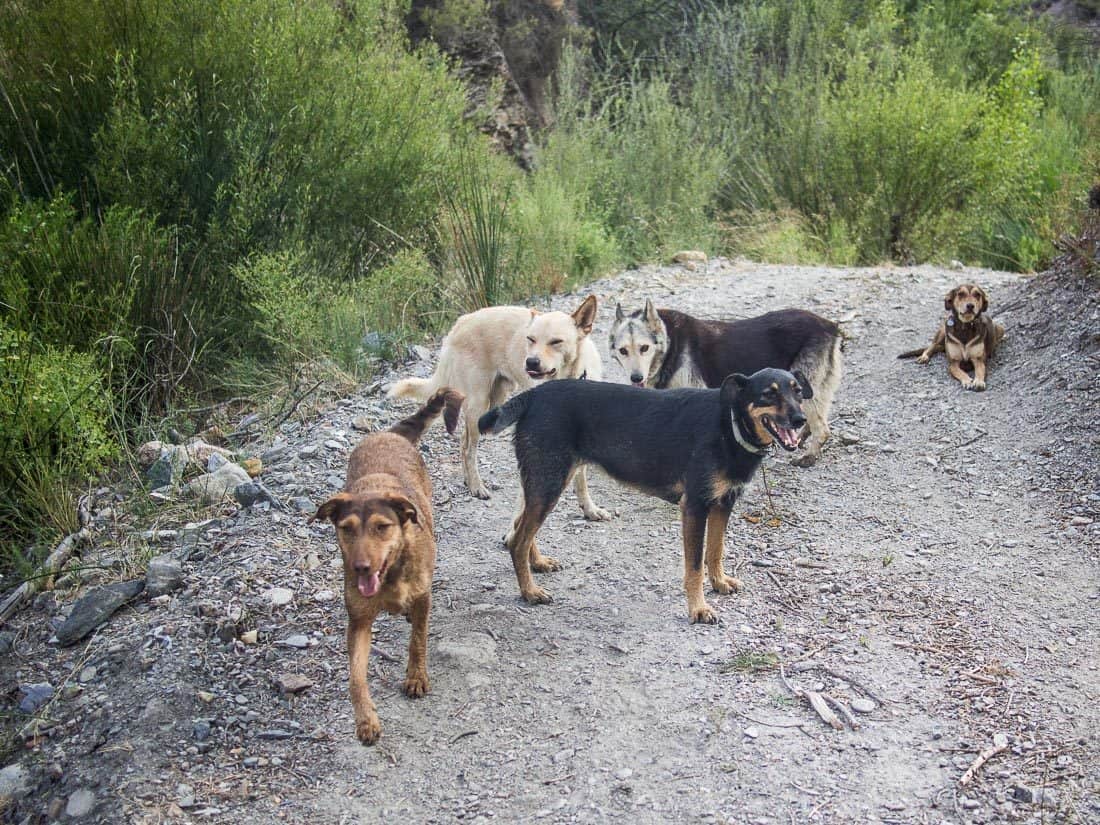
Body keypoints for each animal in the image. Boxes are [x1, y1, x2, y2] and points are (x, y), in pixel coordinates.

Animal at [310, 391, 464, 748]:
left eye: (382, 527)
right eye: (346, 529)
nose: (360, 567)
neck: (391, 573)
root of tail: (389, 434)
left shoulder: (422, 596)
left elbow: (418, 639)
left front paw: (416, 677)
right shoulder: (358, 620)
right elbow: (355, 676)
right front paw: (365, 720)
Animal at [387, 294, 611, 519]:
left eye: (556, 341)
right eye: (530, 339)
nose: (530, 362)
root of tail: (462, 321)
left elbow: (581, 478)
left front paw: (589, 508)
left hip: (495, 399)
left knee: (463, 440)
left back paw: (468, 480)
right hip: (478, 404)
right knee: (468, 448)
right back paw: (476, 486)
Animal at [477, 371, 814, 624]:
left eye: (797, 391)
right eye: (768, 394)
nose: (800, 419)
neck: (729, 428)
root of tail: (534, 395)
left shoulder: (723, 504)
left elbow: (715, 552)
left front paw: (719, 582)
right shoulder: (695, 507)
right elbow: (694, 566)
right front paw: (698, 608)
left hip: (546, 481)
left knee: (519, 529)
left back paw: (537, 563)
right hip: (549, 482)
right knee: (518, 540)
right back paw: (529, 592)